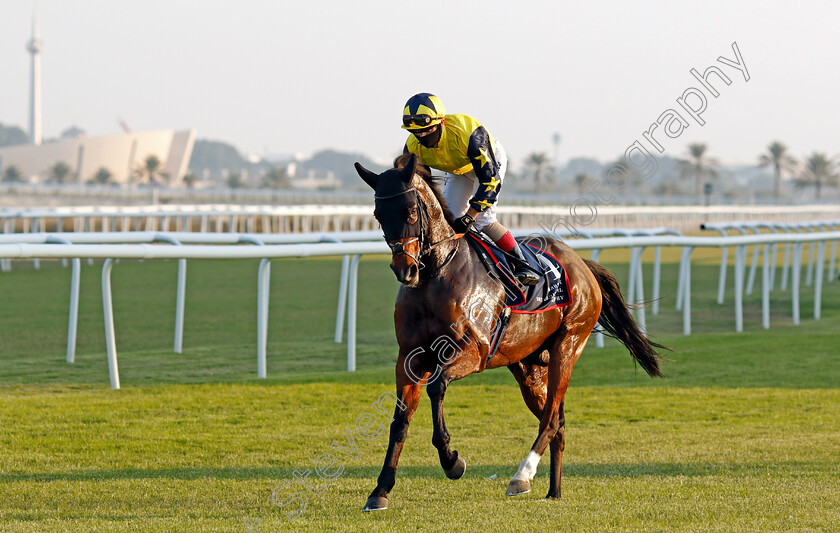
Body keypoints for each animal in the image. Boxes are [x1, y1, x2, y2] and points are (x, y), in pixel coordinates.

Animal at [352, 152, 664, 510]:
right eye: (378, 215)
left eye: (411, 212)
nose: (405, 269)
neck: (436, 275)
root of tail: (582, 265)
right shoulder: (409, 358)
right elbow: (399, 421)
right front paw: (380, 490)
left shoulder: (474, 351)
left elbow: (438, 385)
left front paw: (452, 460)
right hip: (528, 366)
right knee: (557, 422)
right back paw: (553, 491)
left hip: (567, 347)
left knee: (551, 419)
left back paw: (521, 477)